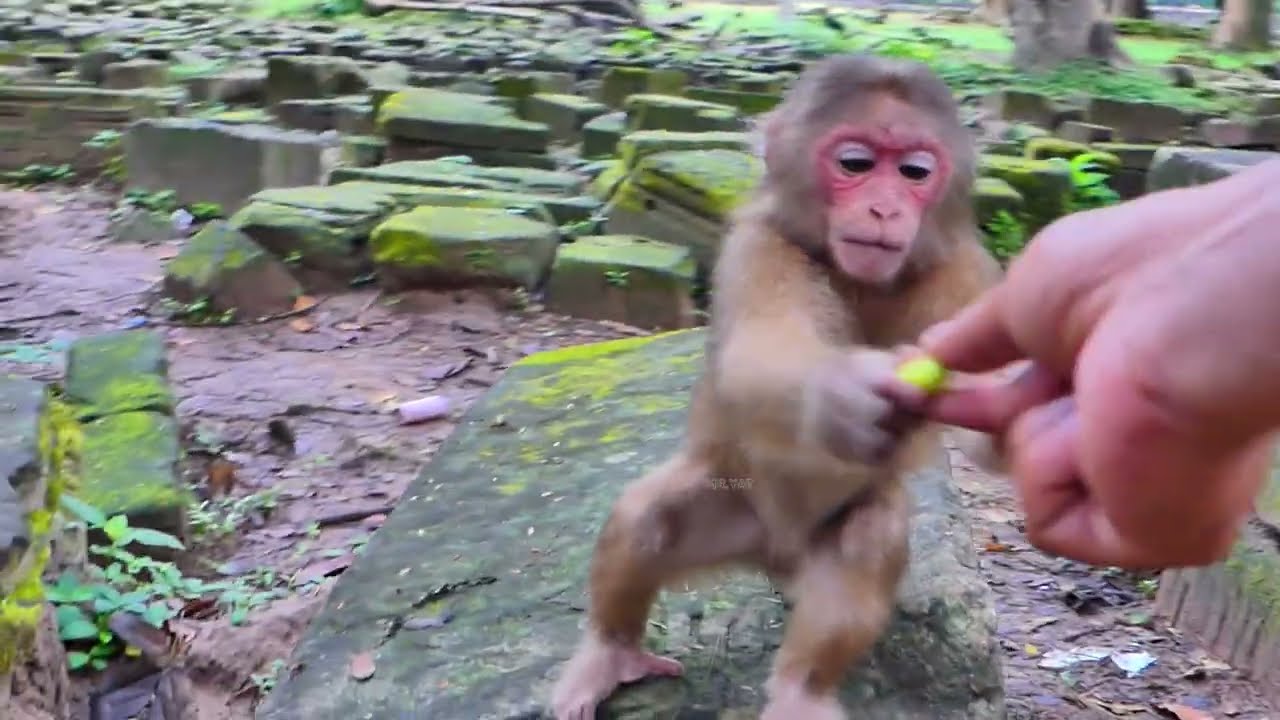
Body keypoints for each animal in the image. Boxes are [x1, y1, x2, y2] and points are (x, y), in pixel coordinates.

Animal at [551, 53, 1005, 720]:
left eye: (915, 172)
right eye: (856, 164)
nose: (885, 209)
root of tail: (776, 556)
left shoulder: (968, 273)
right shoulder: (760, 246)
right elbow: (759, 352)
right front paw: (839, 396)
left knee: (867, 538)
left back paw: (801, 688)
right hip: (735, 510)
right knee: (646, 516)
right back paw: (612, 653)